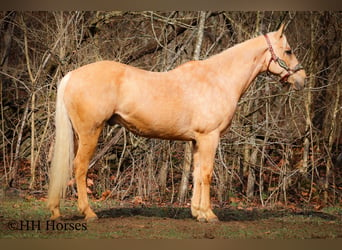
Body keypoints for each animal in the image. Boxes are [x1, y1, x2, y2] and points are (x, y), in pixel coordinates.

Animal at [46, 23, 306, 223]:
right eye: (289, 50)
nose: (302, 79)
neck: (218, 79)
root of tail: (71, 75)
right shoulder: (210, 137)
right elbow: (207, 173)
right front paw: (210, 215)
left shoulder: (197, 140)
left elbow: (196, 173)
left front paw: (198, 213)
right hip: (90, 132)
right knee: (80, 167)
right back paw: (88, 213)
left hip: (79, 134)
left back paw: (55, 211)